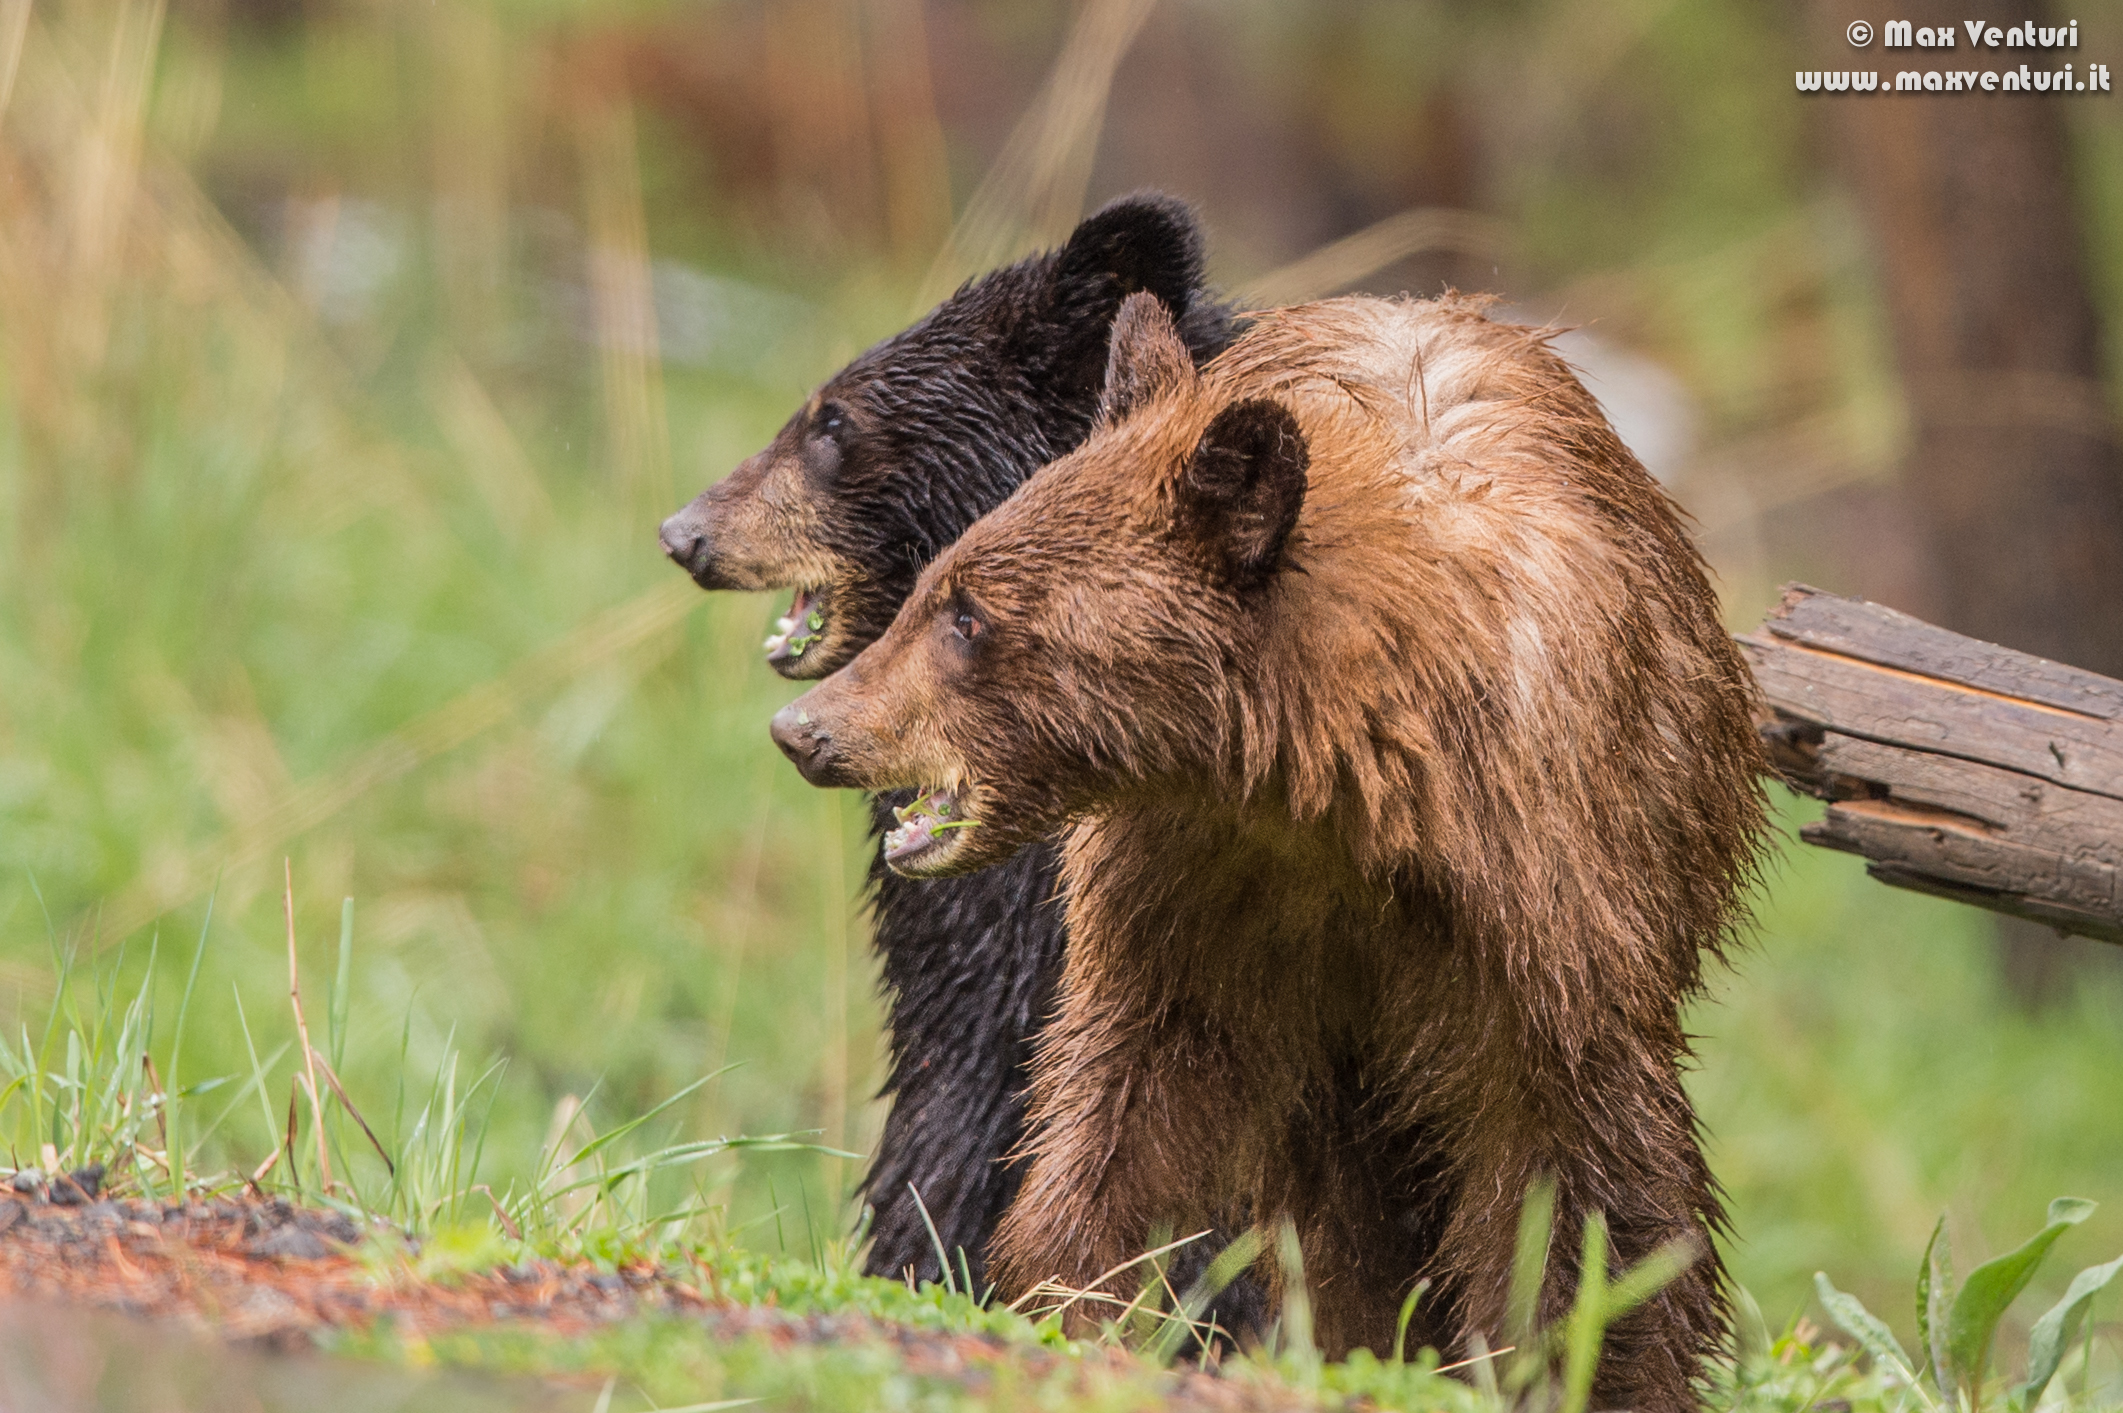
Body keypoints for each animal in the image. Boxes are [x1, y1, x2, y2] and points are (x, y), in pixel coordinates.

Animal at [767, 291, 1768, 1412]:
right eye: (940, 584)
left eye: (969, 615)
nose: (807, 729)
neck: (1332, 790)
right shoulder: (1192, 889)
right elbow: (1123, 1105)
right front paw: (1074, 1299)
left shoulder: (1546, 902)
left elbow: (1578, 1173)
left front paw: (1581, 1356)